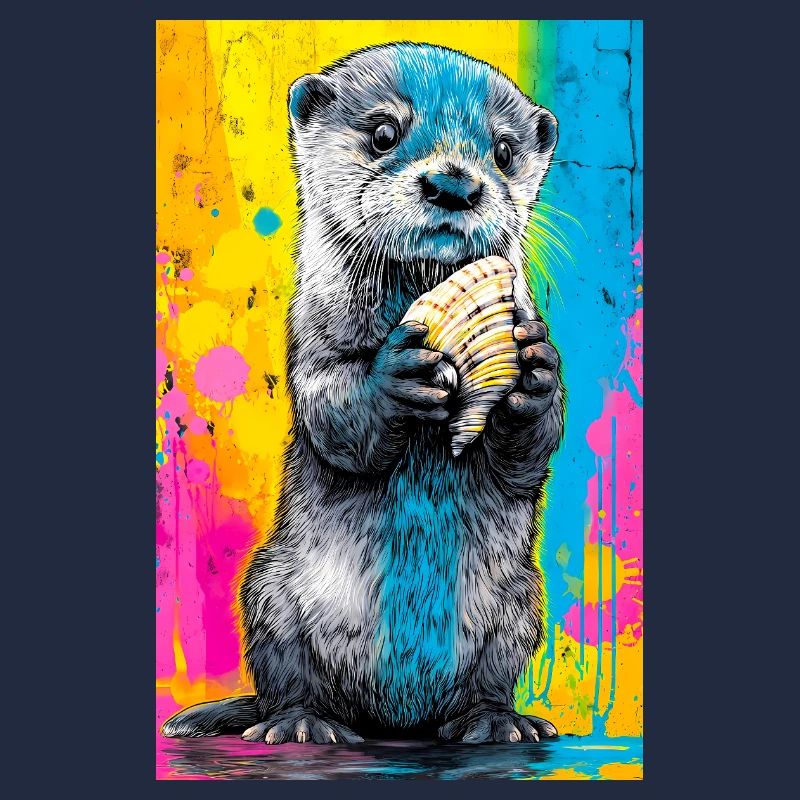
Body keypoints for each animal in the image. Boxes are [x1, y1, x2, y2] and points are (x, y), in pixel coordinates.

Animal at [162, 42, 564, 745]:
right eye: (383, 133)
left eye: (504, 150)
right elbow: (335, 412)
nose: (454, 183)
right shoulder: (311, 336)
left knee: (491, 678)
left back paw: (496, 722)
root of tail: (396, 718)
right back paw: (302, 723)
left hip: (521, 605)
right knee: (287, 679)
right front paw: (396, 373)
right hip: (271, 592)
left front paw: (535, 374)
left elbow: (528, 458)